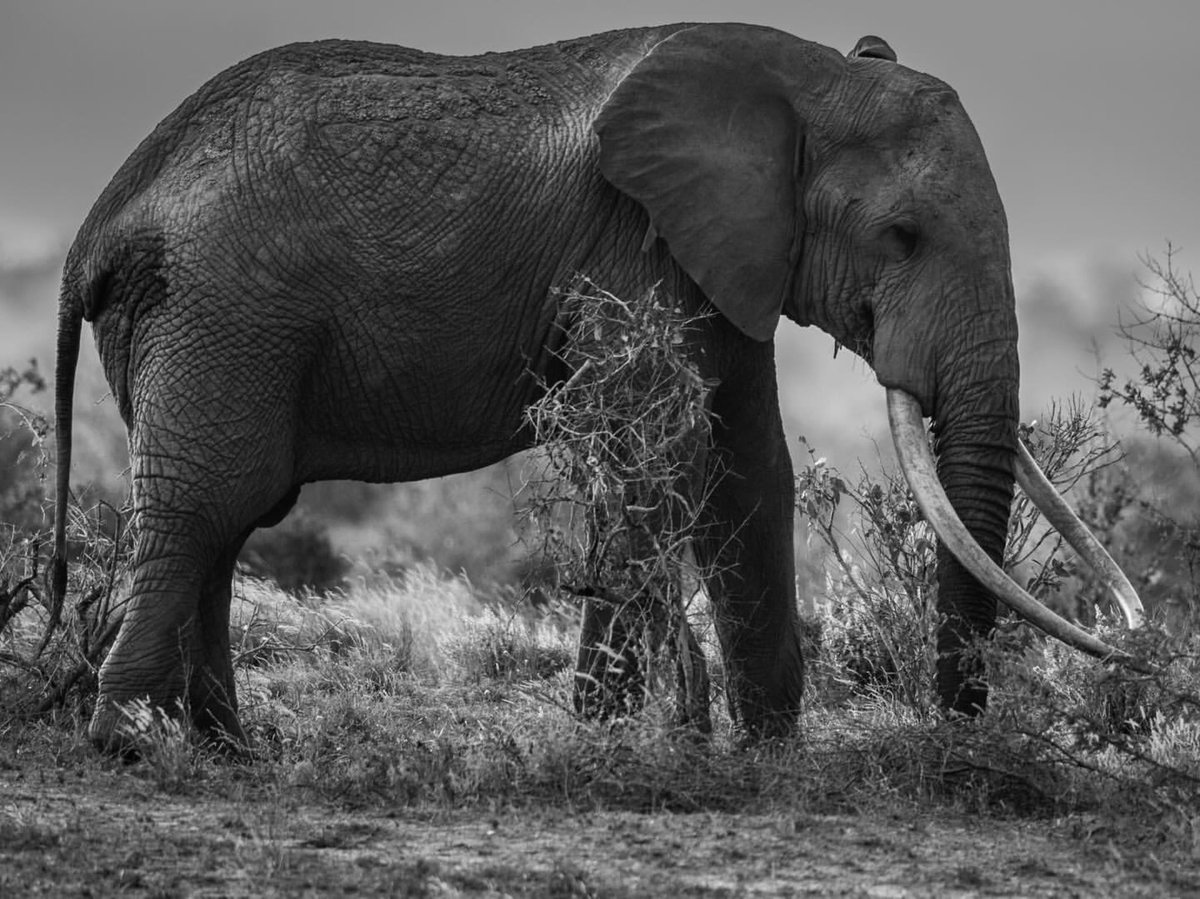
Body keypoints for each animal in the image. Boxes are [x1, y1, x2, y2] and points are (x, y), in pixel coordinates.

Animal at [49, 22, 1142, 748]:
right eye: (902, 235)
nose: (961, 729)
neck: (805, 75)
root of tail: (105, 215)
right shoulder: (640, 240)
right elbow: (651, 458)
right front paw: (605, 741)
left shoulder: (727, 254)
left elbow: (747, 473)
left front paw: (769, 752)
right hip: (218, 315)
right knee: (207, 505)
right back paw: (128, 742)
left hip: (204, 322)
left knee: (223, 522)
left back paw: (227, 747)